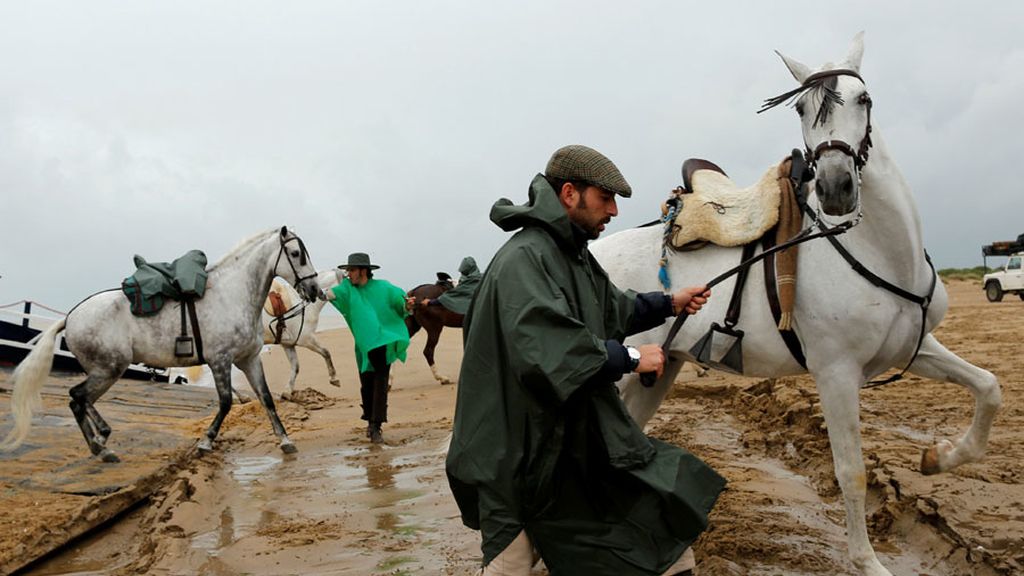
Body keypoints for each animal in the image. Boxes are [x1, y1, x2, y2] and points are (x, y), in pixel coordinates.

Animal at [0, 226, 319, 459]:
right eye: (296, 254)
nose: (314, 288)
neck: (233, 295)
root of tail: (70, 316)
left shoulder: (248, 359)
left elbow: (266, 399)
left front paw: (285, 441)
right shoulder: (220, 360)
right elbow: (226, 402)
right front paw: (205, 443)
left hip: (105, 371)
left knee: (78, 400)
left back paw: (100, 443)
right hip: (109, 369)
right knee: (78, 396)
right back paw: (101, 442)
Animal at [593, 32, 999, 573]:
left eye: (864, 100)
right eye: (803, 108)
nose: (835, 187)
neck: (882, 251)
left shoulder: (914, 348)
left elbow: (988, 387)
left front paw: (941, 458)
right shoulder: (836, 372)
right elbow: (851, 471)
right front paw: (867, 561)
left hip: (655, 372)